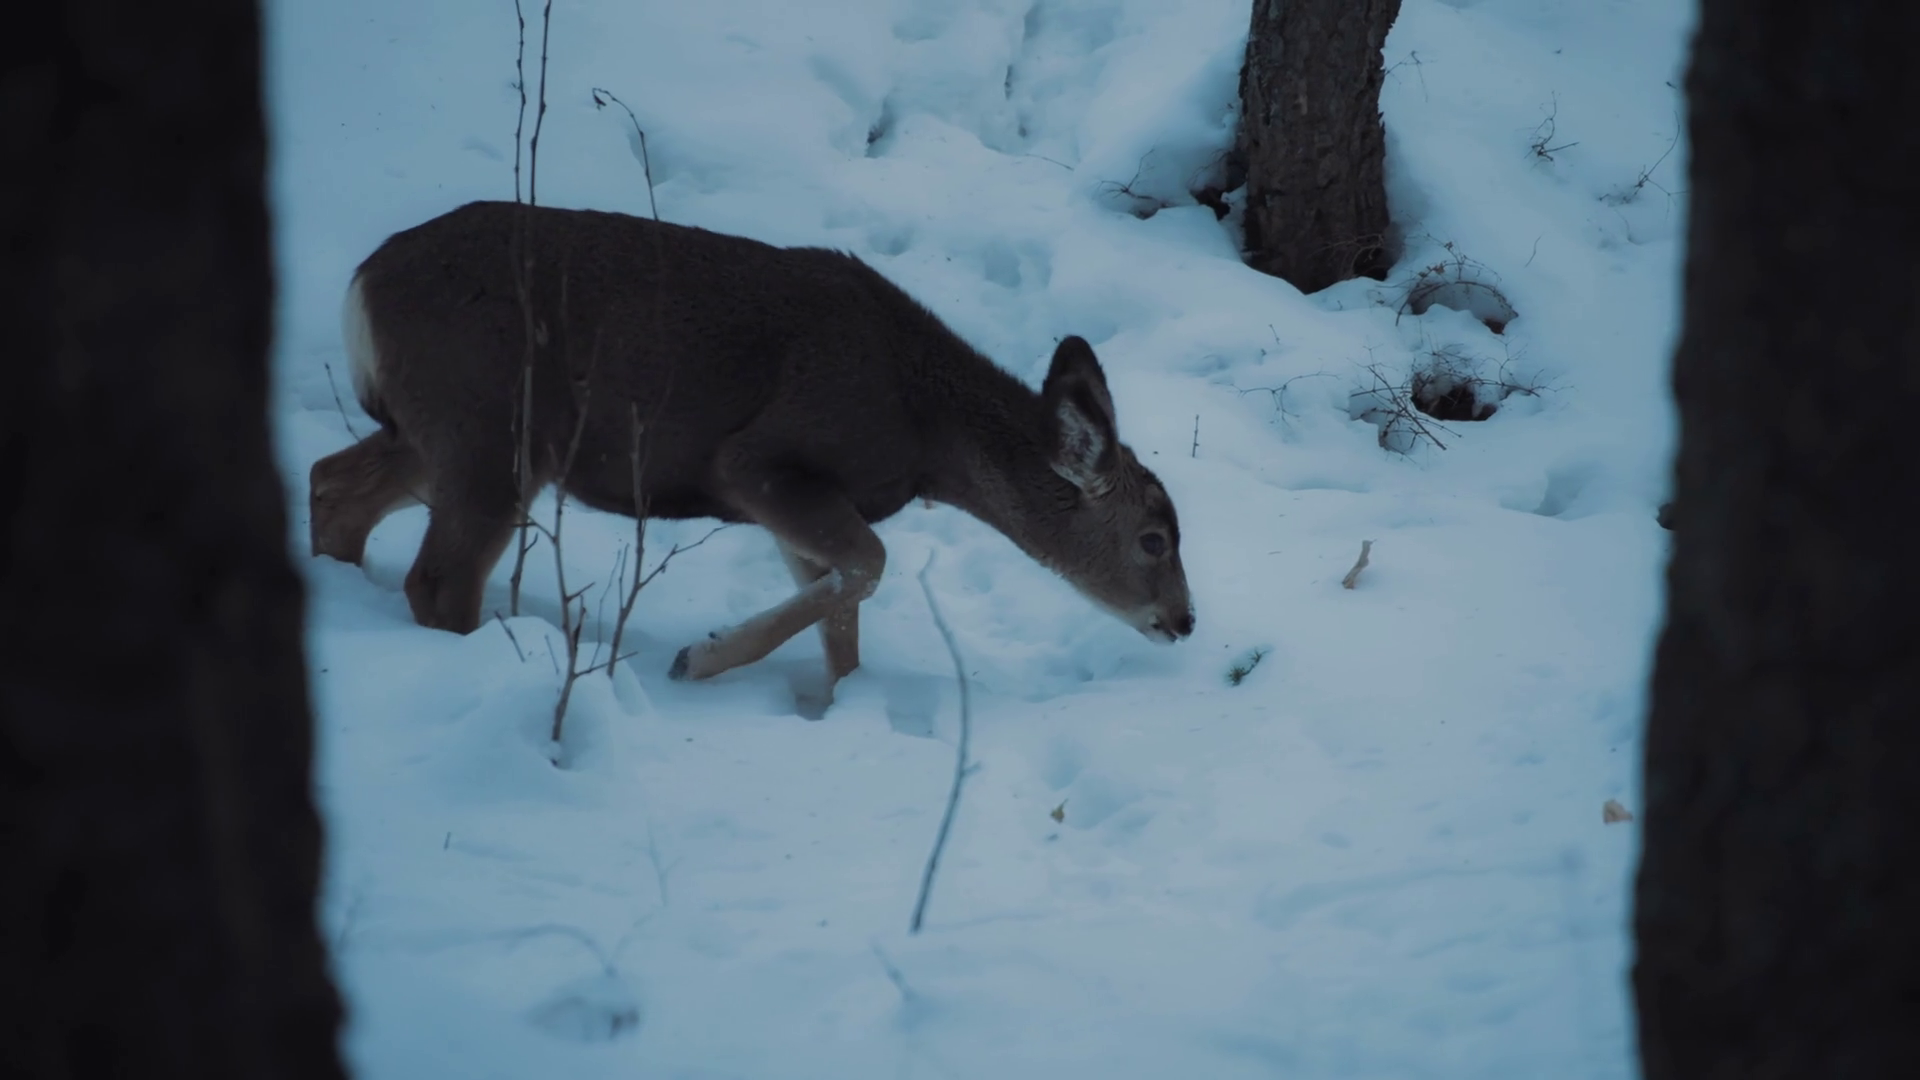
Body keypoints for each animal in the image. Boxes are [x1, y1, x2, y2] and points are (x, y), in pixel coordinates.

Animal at [309, 201, 1195, 696]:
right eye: (1154, 537)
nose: (1185, 621)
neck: (924, 428)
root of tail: (358, 284)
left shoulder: (790, 497)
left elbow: (841, 609)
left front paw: (829, 702)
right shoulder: (760, 459)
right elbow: (868, 565)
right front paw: (698, 660)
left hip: (441, 428)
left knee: (331, 482)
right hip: (496, 427)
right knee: (438, 579)